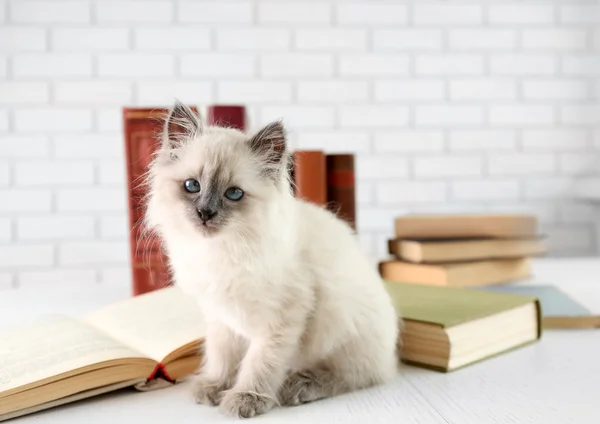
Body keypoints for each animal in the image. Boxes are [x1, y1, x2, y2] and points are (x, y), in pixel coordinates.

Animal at [143, 102, 400, 418]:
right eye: (192, 186)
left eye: (234, 193)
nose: (205, 213)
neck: (222, 250)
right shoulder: (221, 318)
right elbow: (222, 357)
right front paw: (215, 387)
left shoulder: (280, 320)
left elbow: (259, 365)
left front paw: (244, 400)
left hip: (342, 329)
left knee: (356, 376)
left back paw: (299, 386)